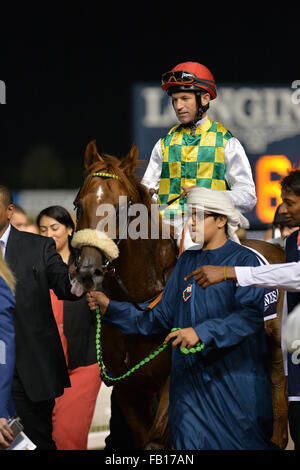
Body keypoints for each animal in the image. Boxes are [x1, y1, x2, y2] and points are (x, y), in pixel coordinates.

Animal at [72, 141, 288, 450]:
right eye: (79, 206)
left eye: (122, 208)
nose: (88, 270)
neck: (142, 301)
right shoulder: (128, 388)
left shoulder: (173, 381)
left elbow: (158, 440)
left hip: (276, 353)